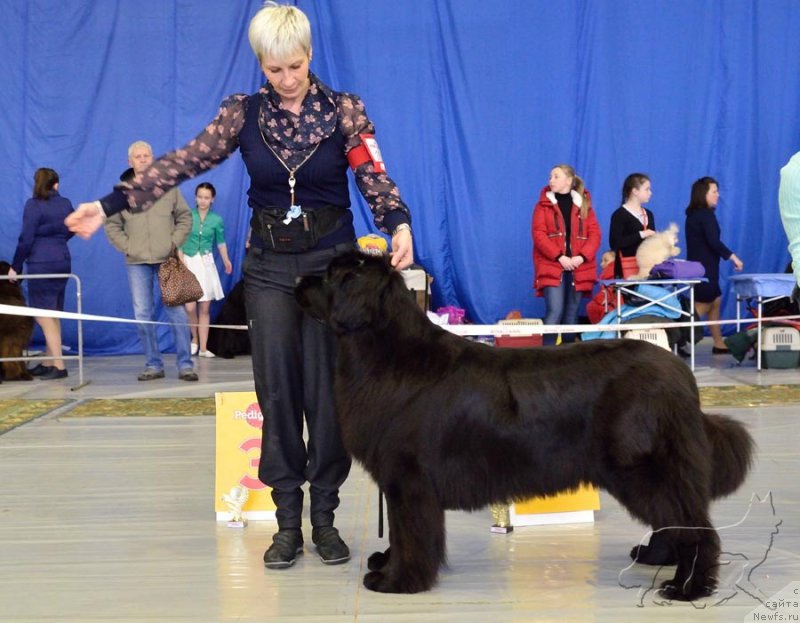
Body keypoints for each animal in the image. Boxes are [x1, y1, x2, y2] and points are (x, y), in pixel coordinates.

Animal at [292, 251, 752, 604]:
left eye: (331, 275)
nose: (296, 278)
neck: (388, 354)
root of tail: (681, 374)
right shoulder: (399, 481)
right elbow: (403, 534)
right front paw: (387, 564)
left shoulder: (409, 480)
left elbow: (411, 535)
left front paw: (397, 580)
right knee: (676, 521)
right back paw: (659, 559)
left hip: (643, 470)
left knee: (694, 527)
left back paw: (688, 587)